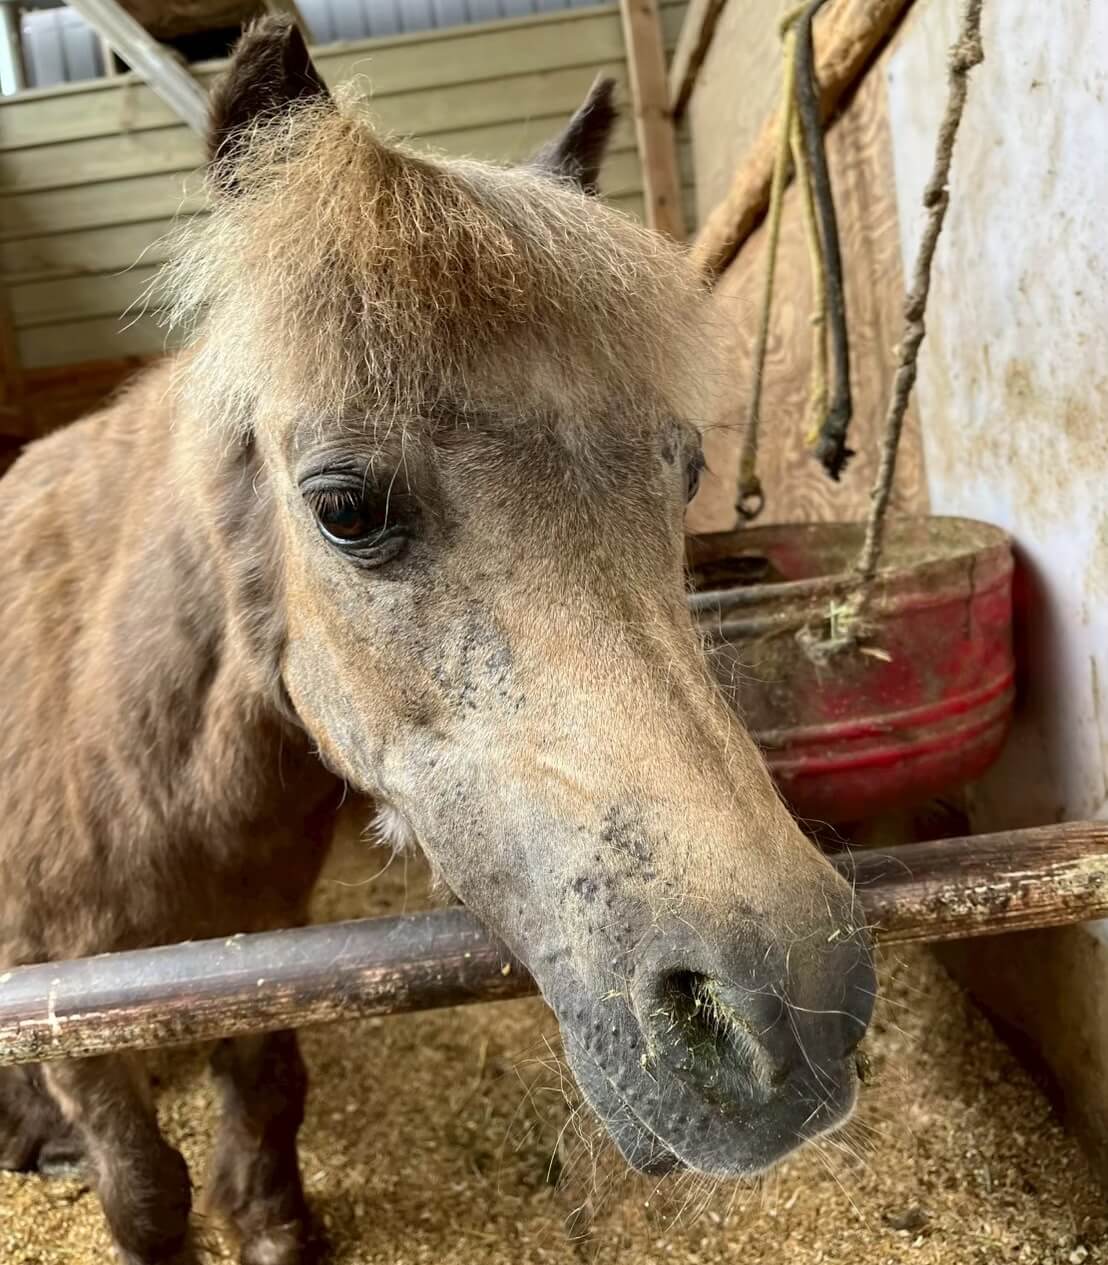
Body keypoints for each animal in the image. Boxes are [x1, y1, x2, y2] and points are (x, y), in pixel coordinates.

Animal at [0, 18, 875, 1265]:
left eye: (687, 468)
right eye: (345, 507)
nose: (792, 1012)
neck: (127, 754)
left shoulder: (254, 954)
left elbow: (266, 1094)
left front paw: (274, 1225)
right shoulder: (71, 1022)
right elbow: (145, 1189)